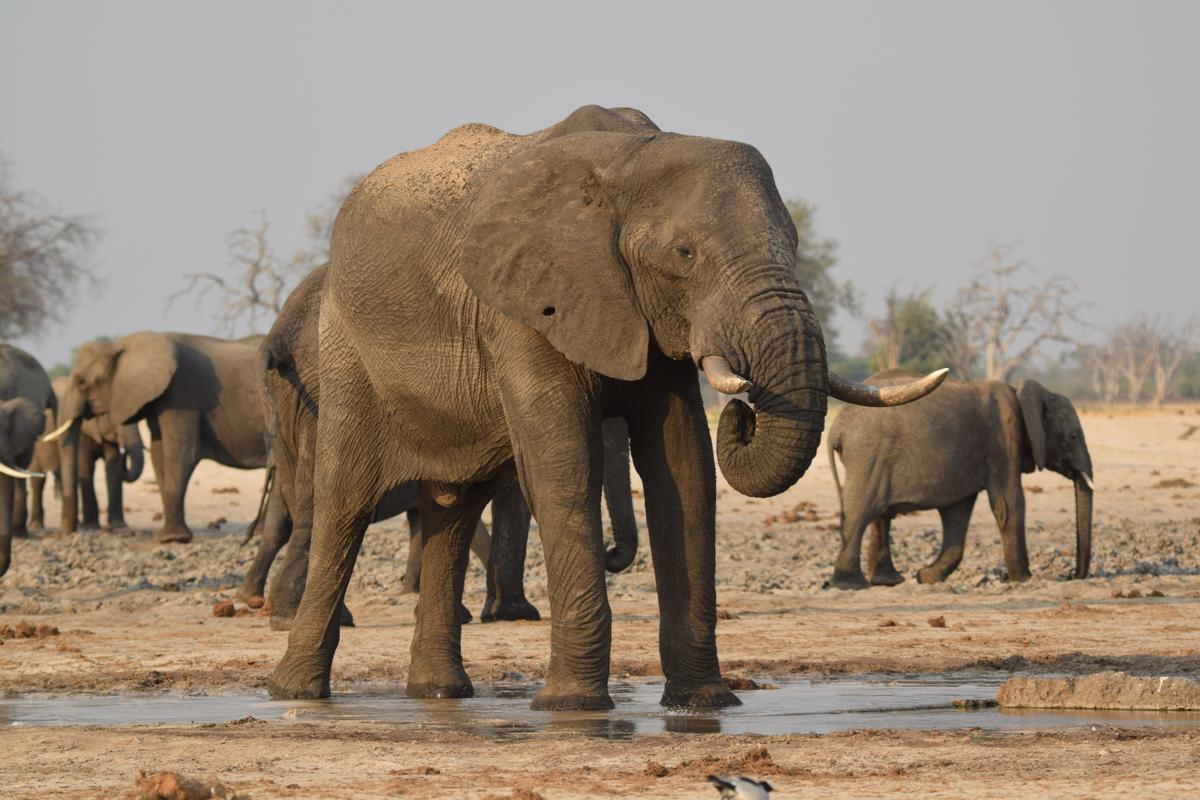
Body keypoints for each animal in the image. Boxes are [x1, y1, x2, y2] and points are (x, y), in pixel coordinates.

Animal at [18, 378, 145, 534]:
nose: (125, 451)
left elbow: (112, 468)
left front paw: (119, 527)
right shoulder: (82, 430)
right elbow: (86, 467)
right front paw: (92, 527)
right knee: (38, 479)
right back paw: (37, 526)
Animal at [45, 332, 276, 543]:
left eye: (81, 382)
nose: (67, 534)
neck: (121, 344)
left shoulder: (181, 395)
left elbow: (182, 452)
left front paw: (172, 539)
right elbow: (158, 454)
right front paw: (167, 536)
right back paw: (258, 533)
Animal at [235, 264, 640, 630]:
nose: (610, 554)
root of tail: (279, 337)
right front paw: (513, 615)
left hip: (289, 407)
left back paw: (302, 617)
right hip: (330, 394)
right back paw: (301, 619)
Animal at [827, 369, 1094, 589]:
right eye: (1073, 436)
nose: (1071, 576)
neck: (1023, 393)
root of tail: (837, 428)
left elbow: (957, 513)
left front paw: (926, 577)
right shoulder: (1004, 441)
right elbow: (1009, 505)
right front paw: (1024, 580)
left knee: (881, 515)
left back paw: (888, 582)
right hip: (868, 455)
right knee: (861, 512)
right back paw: (851, 585)